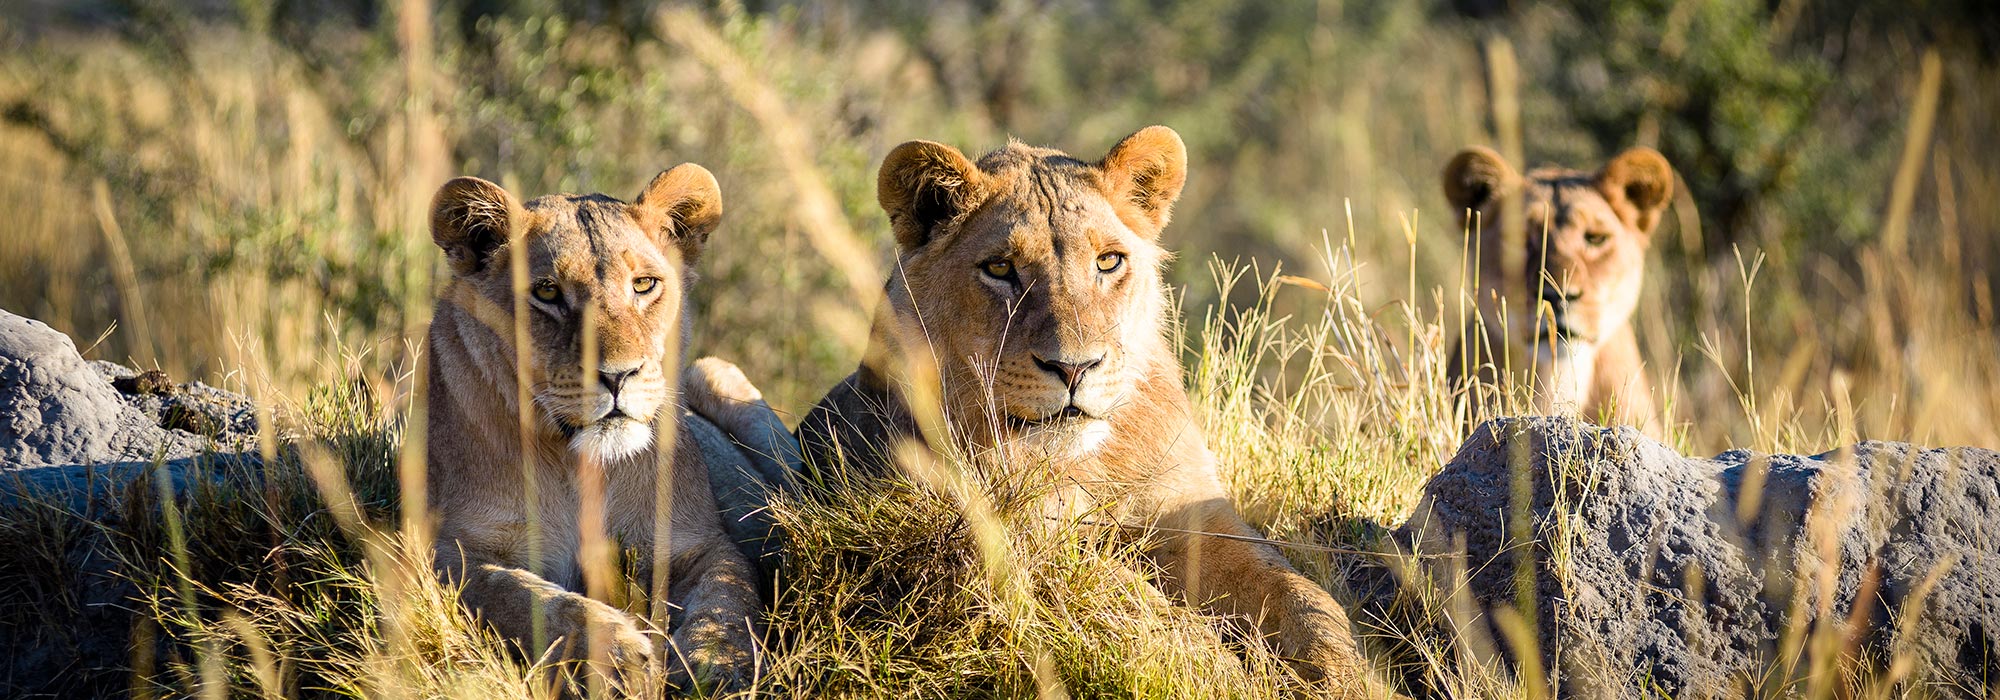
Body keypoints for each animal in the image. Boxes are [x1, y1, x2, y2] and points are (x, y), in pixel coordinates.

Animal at [424, 165, 764, 696]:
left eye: (644, 284)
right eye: (547, 292)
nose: (618, 376)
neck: (578, 462)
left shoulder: (701, 544)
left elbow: (728, 601)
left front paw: (717, 666)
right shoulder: (442, 551)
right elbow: (523, 596)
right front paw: (619, 658)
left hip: (712, 370)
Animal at [772, 127, 1400, 696]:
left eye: (1108, 261)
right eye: (999, 269)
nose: (1074, 368)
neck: (1087, 464)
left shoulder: (1191, 514)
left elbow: (1301, 595)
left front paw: (1350, 678)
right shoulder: (1012, 533)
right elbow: (1143, 604)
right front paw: (1222, 673)